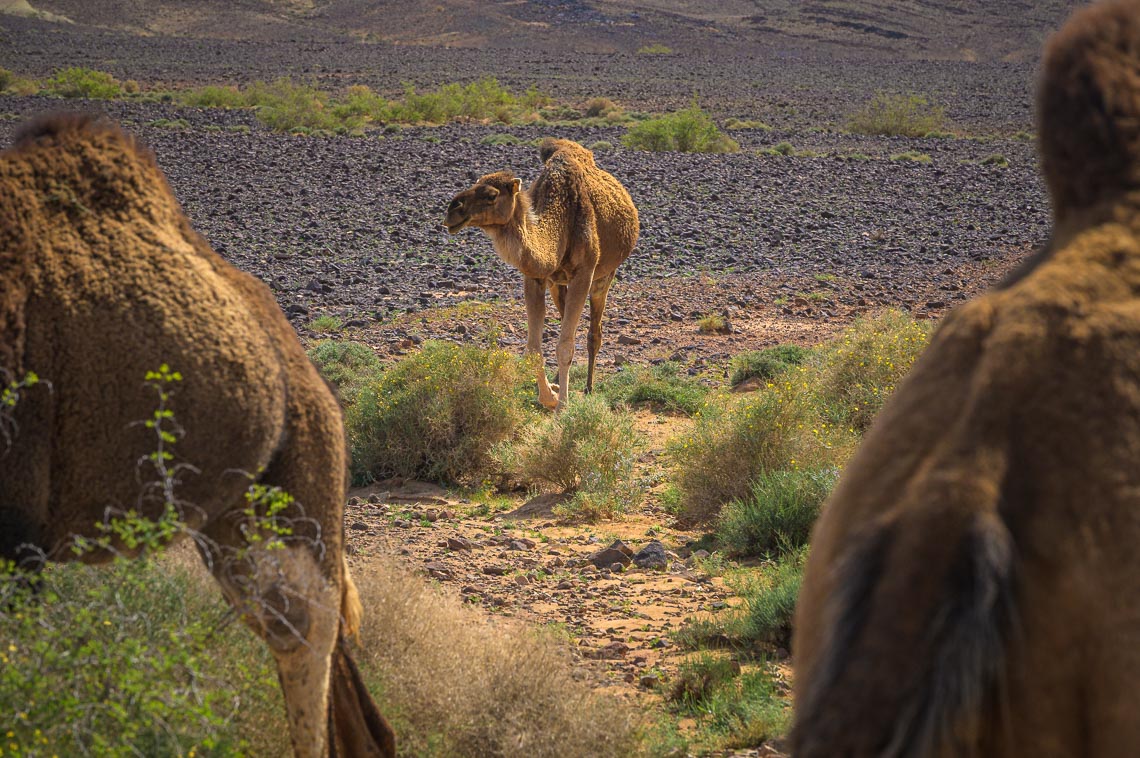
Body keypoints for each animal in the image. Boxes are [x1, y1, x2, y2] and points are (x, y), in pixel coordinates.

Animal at [444, 136, 642, 408]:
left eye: (492, 195)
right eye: (475, 183)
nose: (452, 209)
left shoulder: (584, 273)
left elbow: (566, 346)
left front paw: (563, 405)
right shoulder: (535, 278)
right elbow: (534, 348)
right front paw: (550, 396)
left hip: (604, 275)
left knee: (594, 333)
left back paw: (589, 387)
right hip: (558, 283)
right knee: (567, 320)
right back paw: (559, 380)